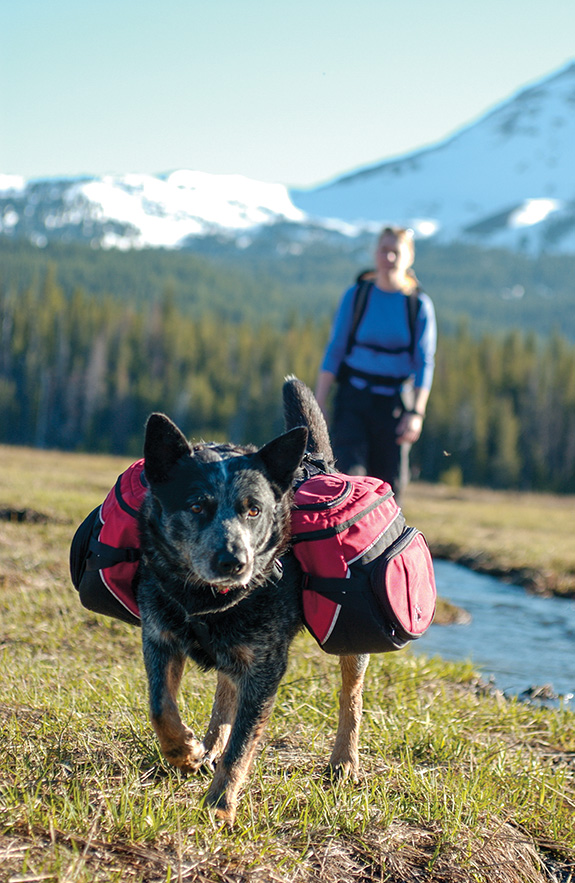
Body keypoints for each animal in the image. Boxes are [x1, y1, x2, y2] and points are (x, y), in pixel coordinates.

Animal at [138, 376, 368, 824]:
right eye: (197, 505)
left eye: (254, 510)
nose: (235, 560)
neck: (205, 600)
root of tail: (316, 462)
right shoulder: (159, 637)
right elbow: (161, 707)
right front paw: (184, 752)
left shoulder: (265, 668)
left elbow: (241, 748)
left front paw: (220, 807)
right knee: (225, 693)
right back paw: (208, 746)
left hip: (350, 641)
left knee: (351, 694)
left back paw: (344, 761)